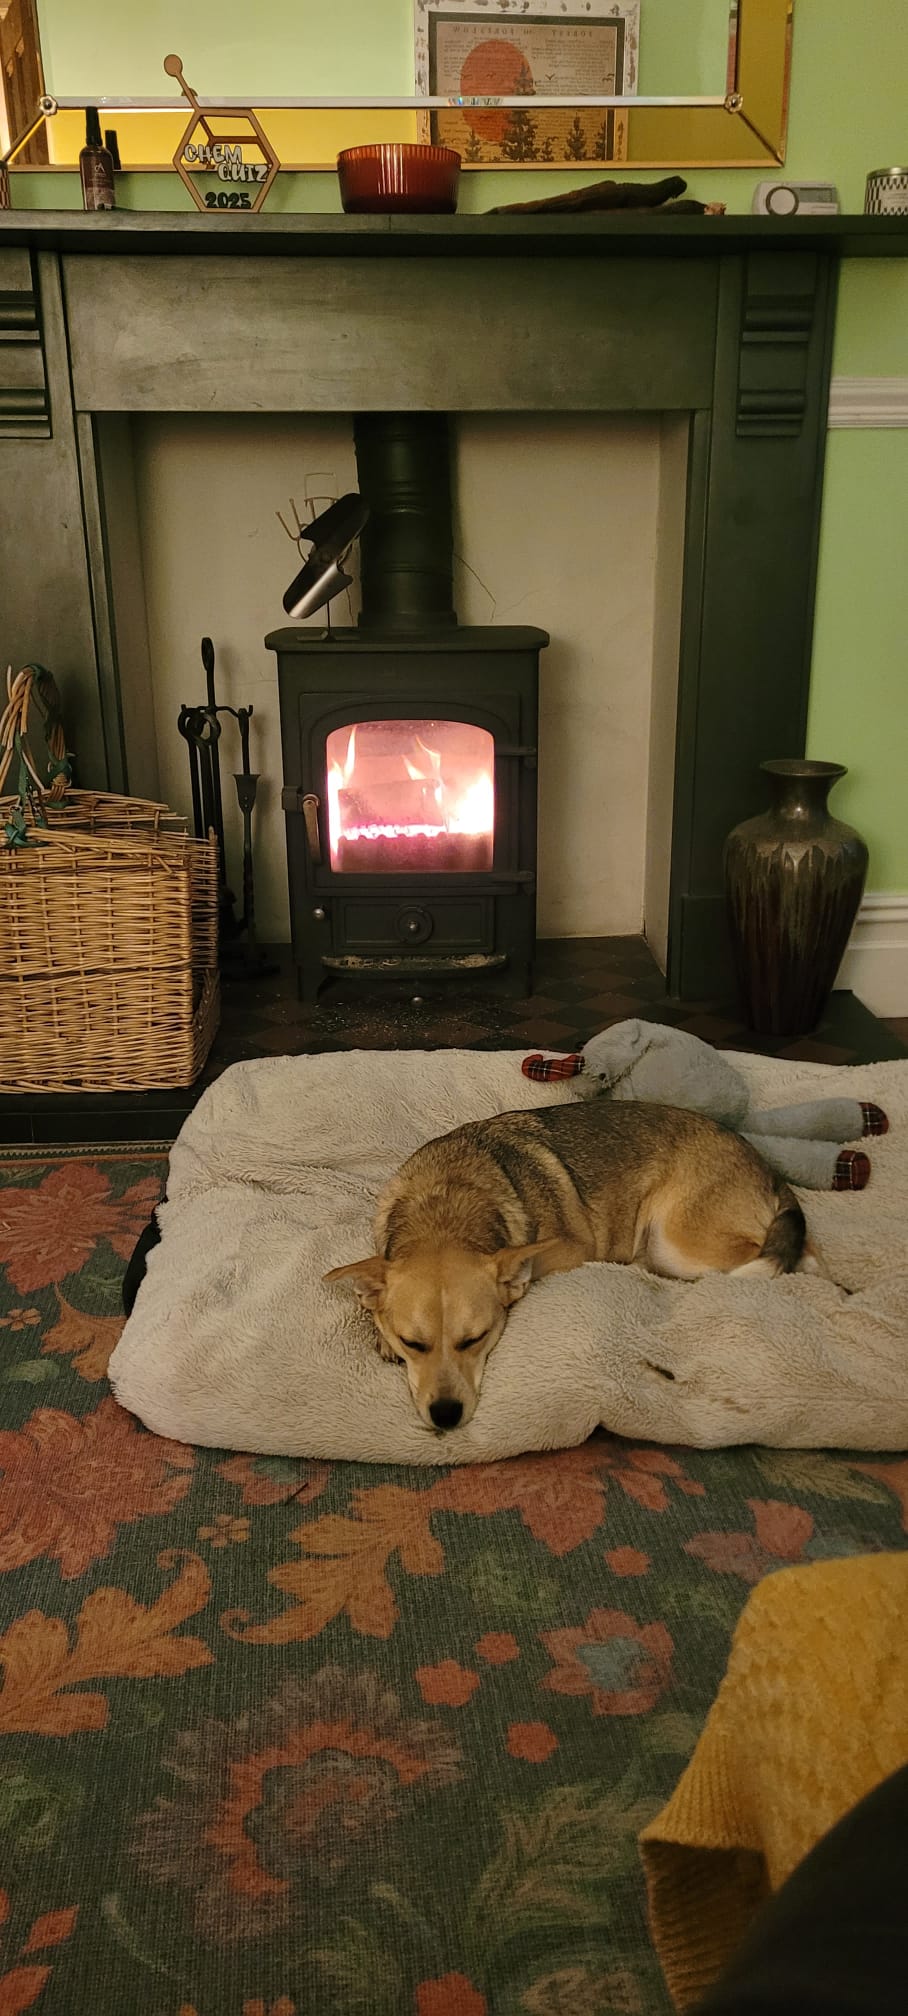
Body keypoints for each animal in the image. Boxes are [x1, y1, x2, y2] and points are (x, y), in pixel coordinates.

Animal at [324, 1098, 819, 1433]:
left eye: (476, 1339)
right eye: (413, 1343)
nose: (445, 1416)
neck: (445, 1210)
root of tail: (766, 1166)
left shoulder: (567, 1252)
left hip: (676, 1240)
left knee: (787, 1257)